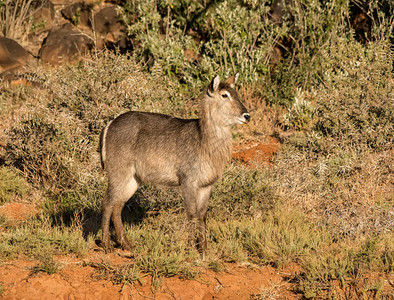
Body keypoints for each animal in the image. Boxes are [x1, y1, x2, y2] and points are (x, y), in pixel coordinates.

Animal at [100, 72, 251, 253]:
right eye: (224, 95)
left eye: (236, 94)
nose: (247, 116)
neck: (204, 141)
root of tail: (109, 125)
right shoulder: (188, 181)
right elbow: (192, 213)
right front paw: (191, 248)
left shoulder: (206, 185)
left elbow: (202, 215)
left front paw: (204, 249)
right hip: (118, 172)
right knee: (107, 203)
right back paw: (106, 244)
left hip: (133, 179)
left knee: (118, 205)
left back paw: (126, 244)